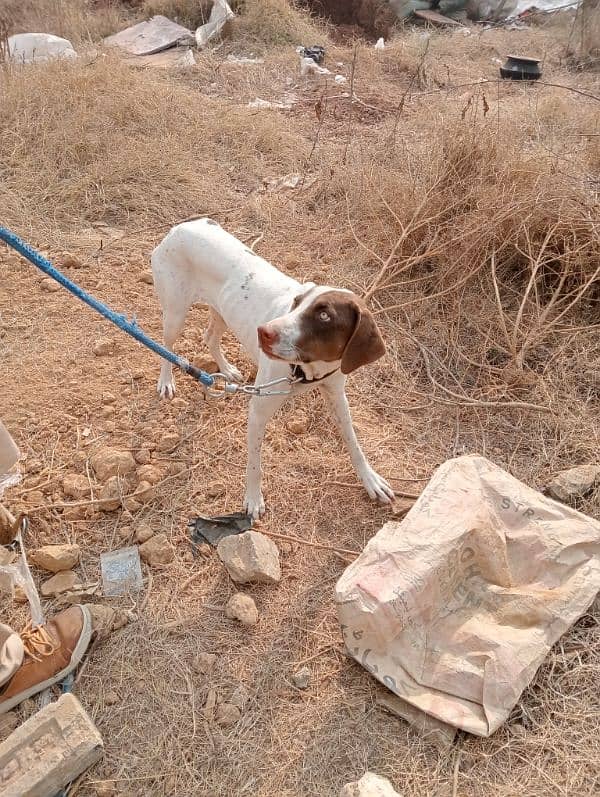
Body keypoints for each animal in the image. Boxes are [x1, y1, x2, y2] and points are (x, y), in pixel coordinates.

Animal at [150, 219, 394, 516]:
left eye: (325, 315)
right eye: (296, 303)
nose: (262, 331)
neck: (306, 370)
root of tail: (183, 226)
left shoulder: (336, 394)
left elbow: (353, 442)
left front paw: (370, 479)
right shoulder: (257, 411)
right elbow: (254, 464)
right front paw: (253, 499)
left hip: (222, 311)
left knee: (209, 337)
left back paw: (225, 371)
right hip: (175, 313)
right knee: (165, 347)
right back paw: (166, 382)